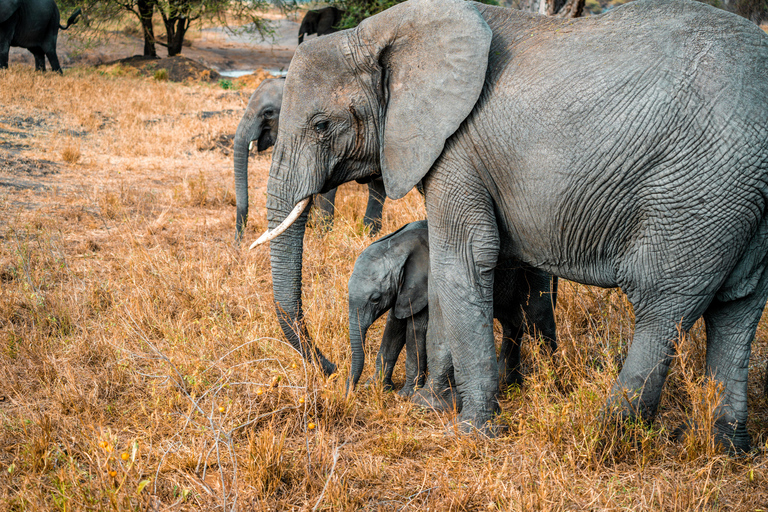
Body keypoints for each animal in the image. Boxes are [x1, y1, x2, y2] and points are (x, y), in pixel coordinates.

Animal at [348, 219, 560, 396]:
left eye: (375, 299)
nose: (349, 392)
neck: (398, 244)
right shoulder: (404, 291)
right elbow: (393, 328)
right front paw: (375, 387)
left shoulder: (427, 284)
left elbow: (416, 330)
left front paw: (405, 395)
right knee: (512, 326)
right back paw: (509, 384)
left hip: (535, 277)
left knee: (540, 325)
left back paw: (554, 382)